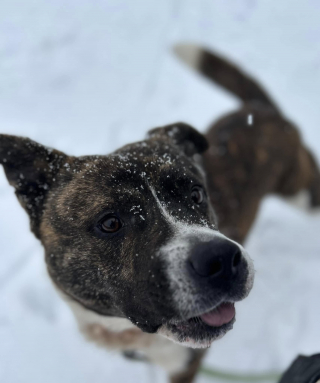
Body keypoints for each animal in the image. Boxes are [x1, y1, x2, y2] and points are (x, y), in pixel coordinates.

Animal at [0, 43, 318, 382]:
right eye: (110, 222)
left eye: (196, 194)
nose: (221, 259)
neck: (125, 330)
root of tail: (259, 108)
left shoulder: (184, 366)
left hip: (302, 192)